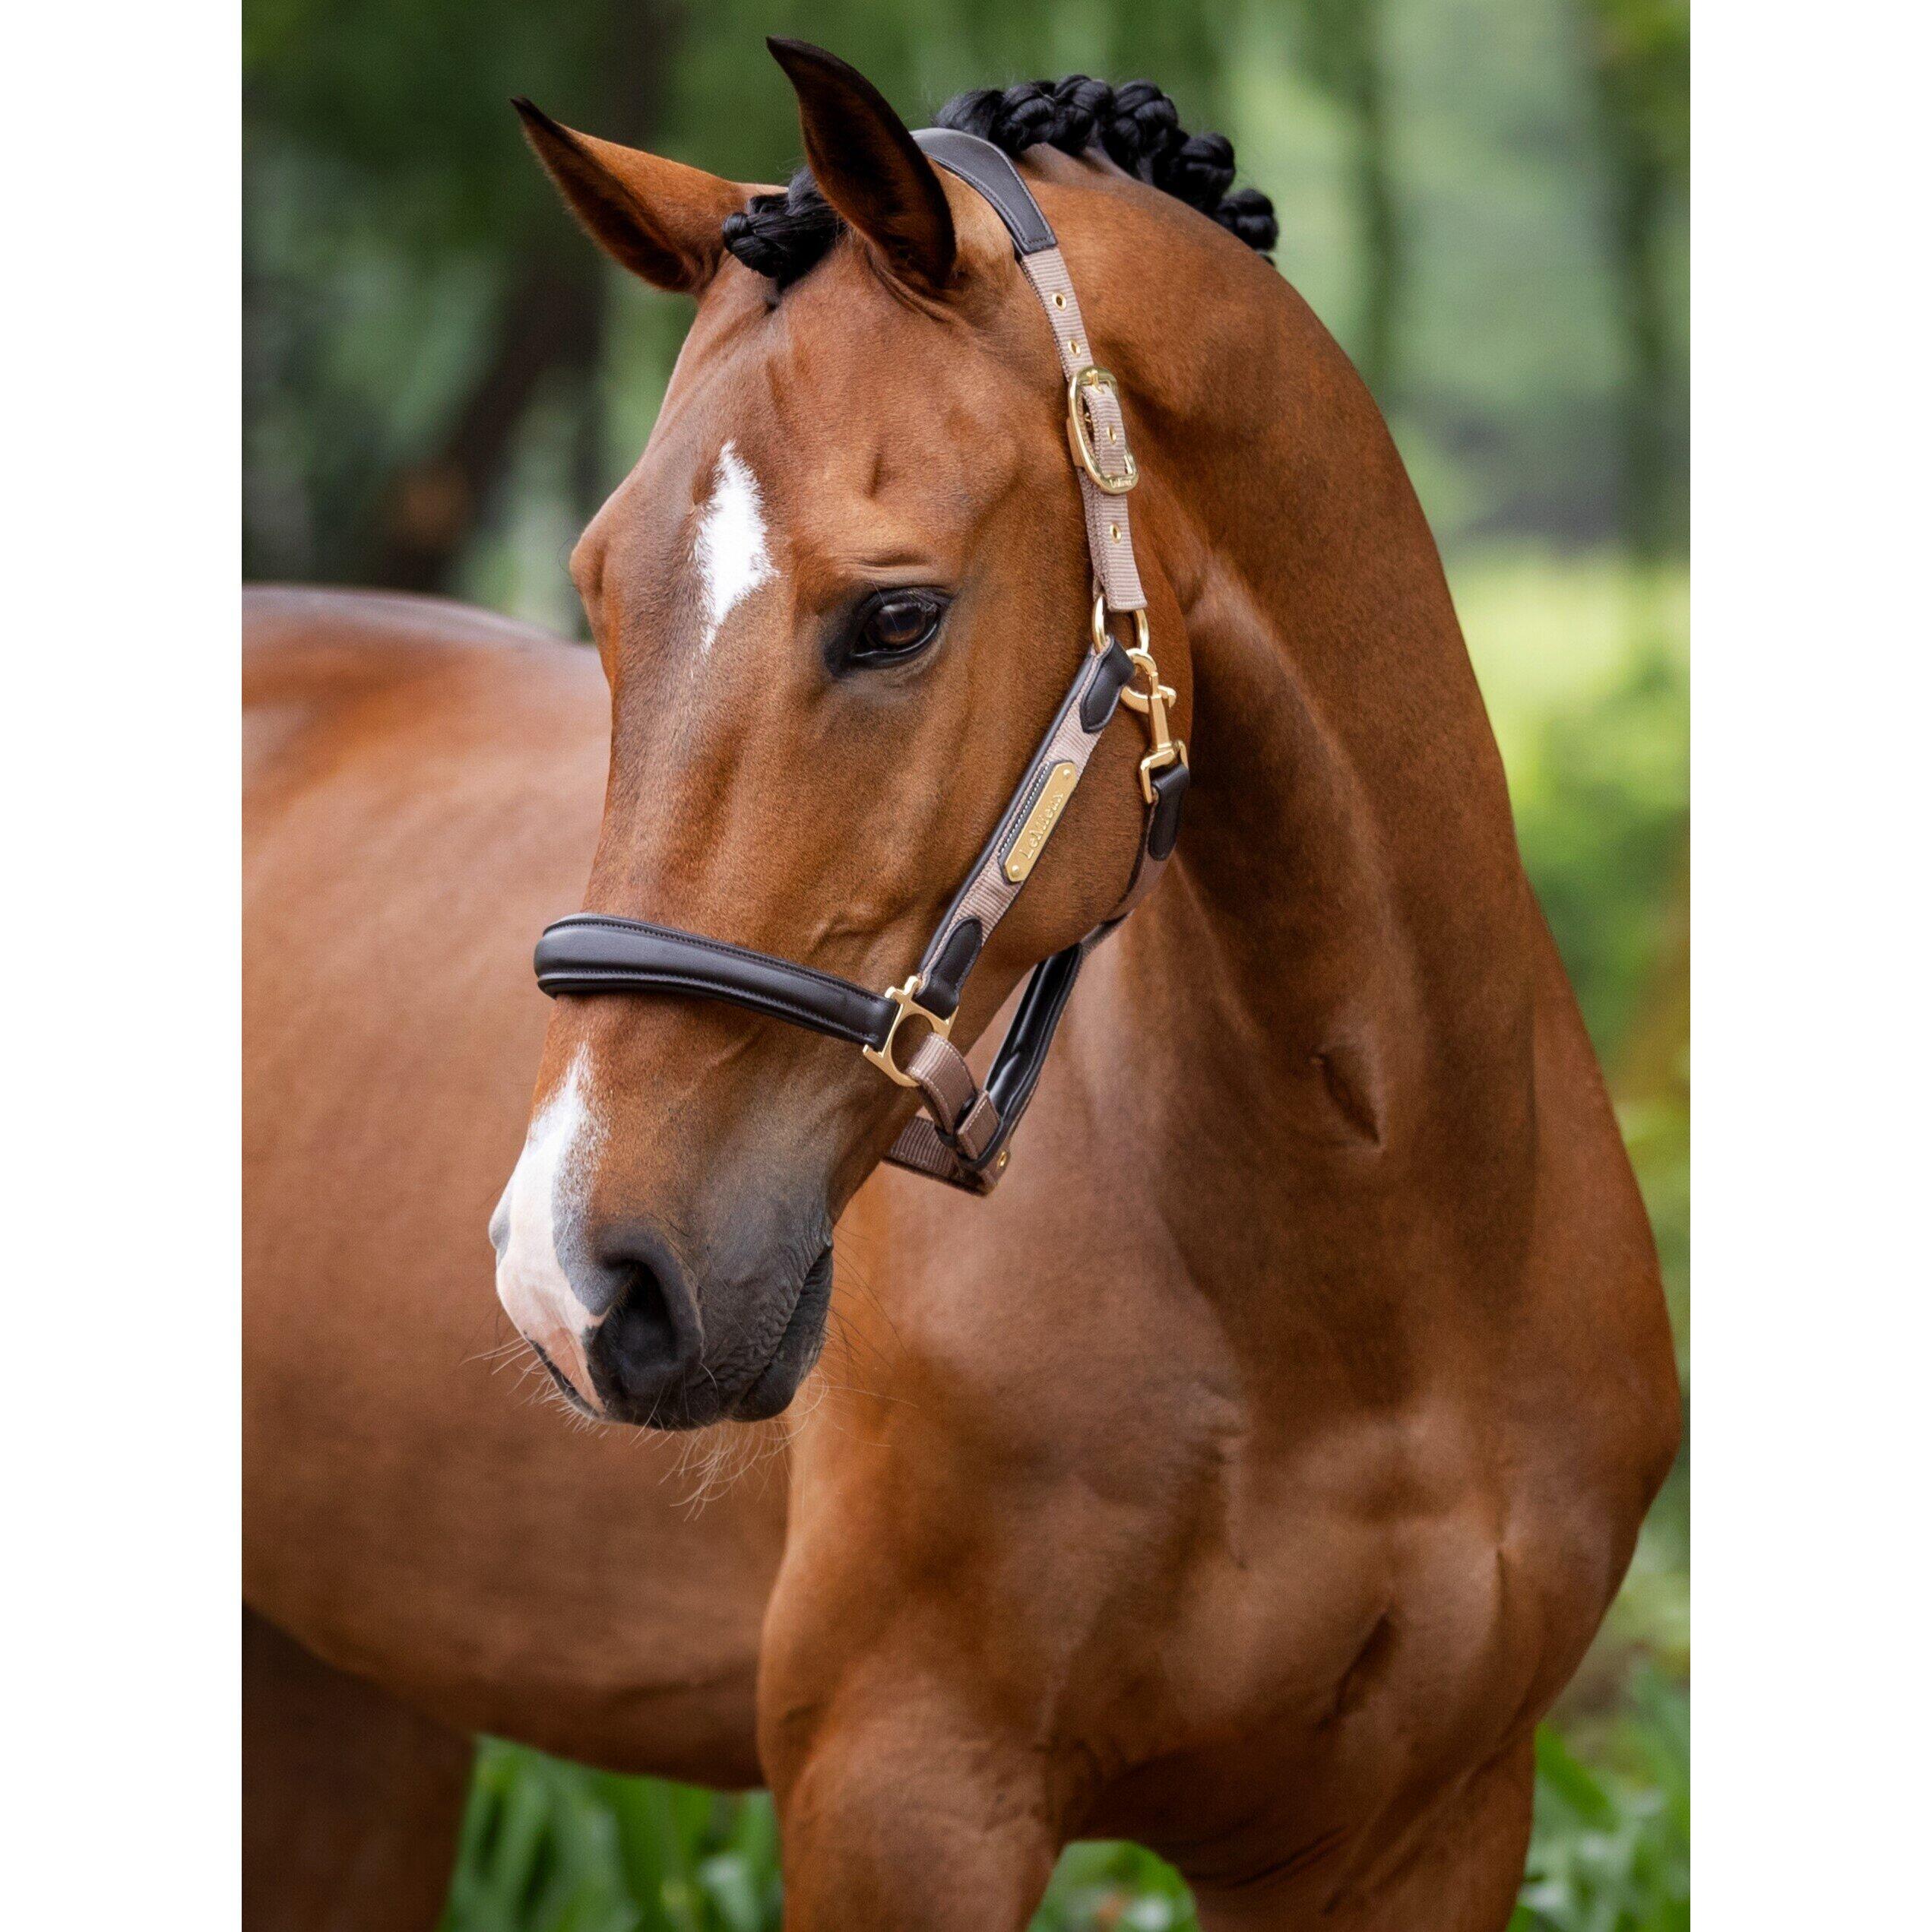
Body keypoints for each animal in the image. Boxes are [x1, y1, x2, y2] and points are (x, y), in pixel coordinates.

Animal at [243, 41, 1680, 1931]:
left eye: (898, 617)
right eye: (602, 598)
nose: (578, 1278)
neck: (1380, 1265)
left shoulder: (1421, 1830)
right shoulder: (904, 1798)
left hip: (348, 1706)